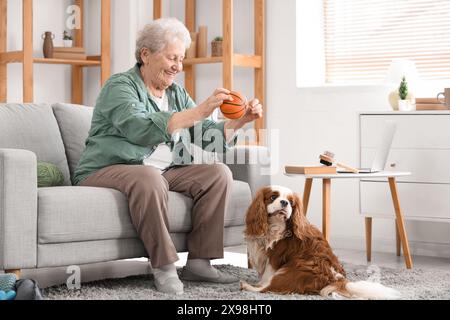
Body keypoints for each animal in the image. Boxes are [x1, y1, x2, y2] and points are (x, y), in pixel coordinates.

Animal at [243, 186, 400, 298]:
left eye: (291, 203)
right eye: (273, 197)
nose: (284, 202)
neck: (273, 226)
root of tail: (335, 278)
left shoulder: (275, 257)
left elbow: (266, 277)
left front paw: (259, 284)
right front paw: (258, 282)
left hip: (293, 268)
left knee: (270, 288)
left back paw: (247, 286)